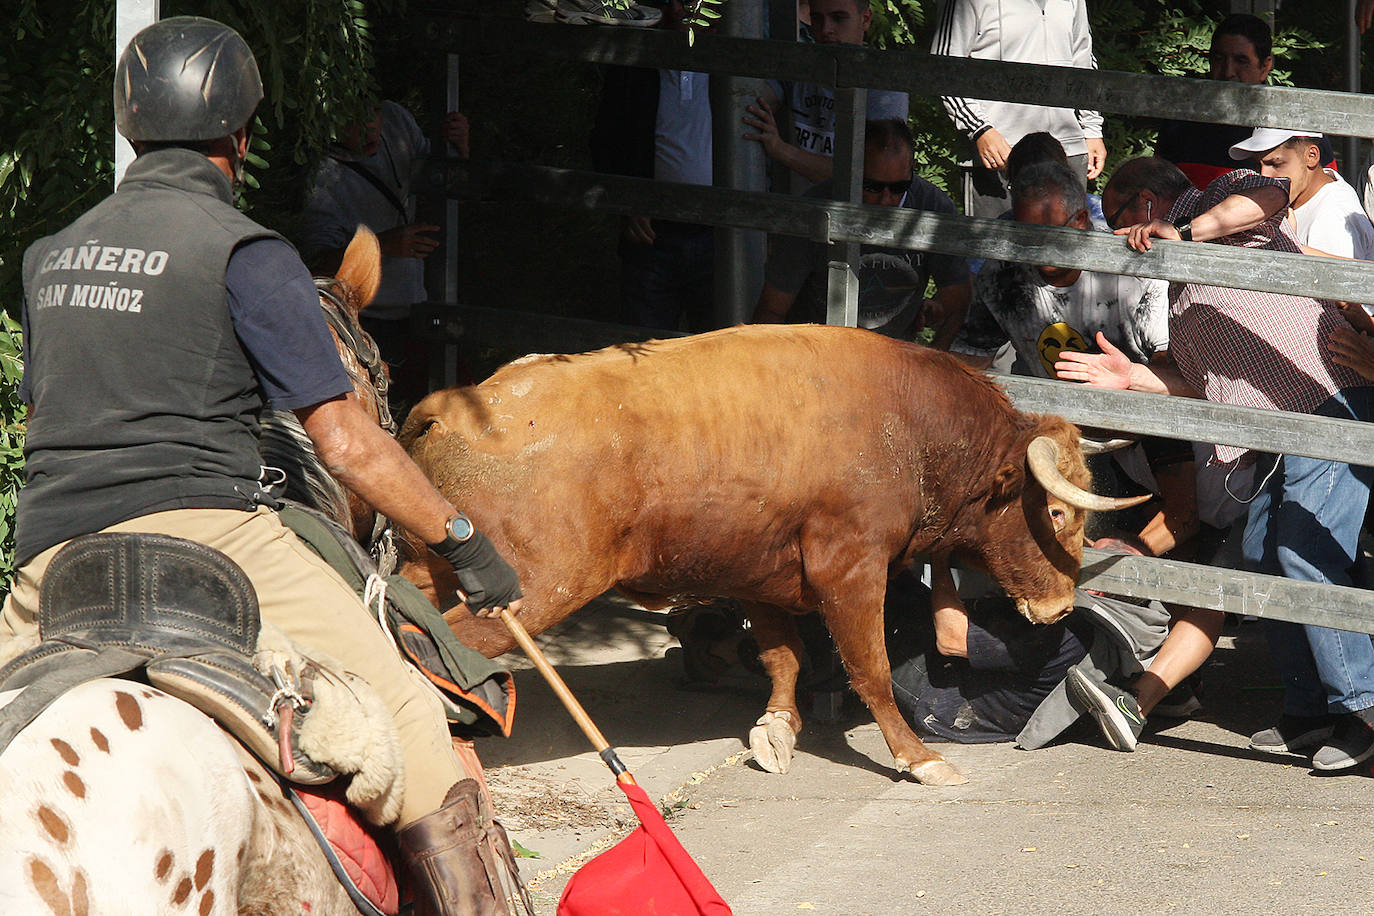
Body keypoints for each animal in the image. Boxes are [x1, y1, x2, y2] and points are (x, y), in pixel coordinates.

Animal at [401, 328, 1137, 791]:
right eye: (1058, 513)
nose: (1060, 608)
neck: (910, 426)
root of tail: (455, 405)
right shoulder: (851, 571)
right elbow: (870, 671)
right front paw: (918, 759)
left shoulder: (762, 573)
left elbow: (784, 657)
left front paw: (776, 728)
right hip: (529, 593)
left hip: (436, 569)